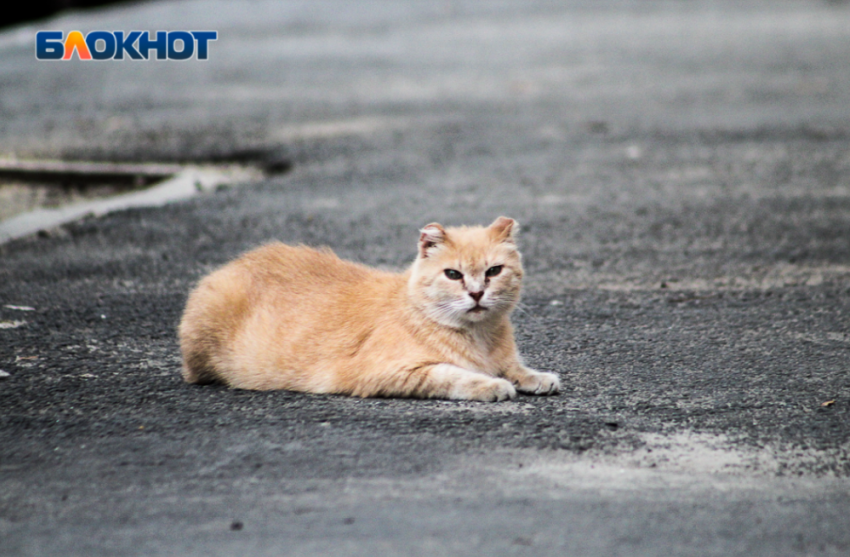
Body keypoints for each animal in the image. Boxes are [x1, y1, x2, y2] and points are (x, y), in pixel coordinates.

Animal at [176, 215, 560, 402]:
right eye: (453, 274)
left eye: (493, 271)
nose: (478, 293)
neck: (480, 337)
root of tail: (233, 264)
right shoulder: (389, 372)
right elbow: (453, 374)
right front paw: (491, 385)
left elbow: (514, 367)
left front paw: (534, 377)